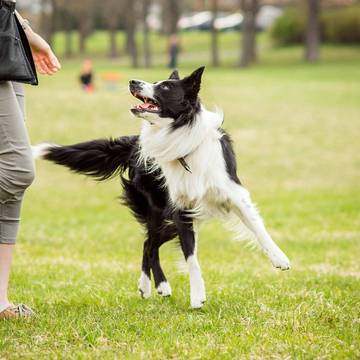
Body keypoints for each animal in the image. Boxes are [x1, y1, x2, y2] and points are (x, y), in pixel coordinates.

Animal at [33, 66, 290, 308]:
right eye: (155, 82)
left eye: (165, 87)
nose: (133, 81)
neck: (180, 135)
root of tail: (134, 143)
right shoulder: (180, 208)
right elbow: (191, 257)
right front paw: (197, 296)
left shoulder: (232, 192)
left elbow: (257, 227)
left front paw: (279, 258)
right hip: (159, 210)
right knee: (149, 244)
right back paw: (156, 285)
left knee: (149, 242)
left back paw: (150, 285)